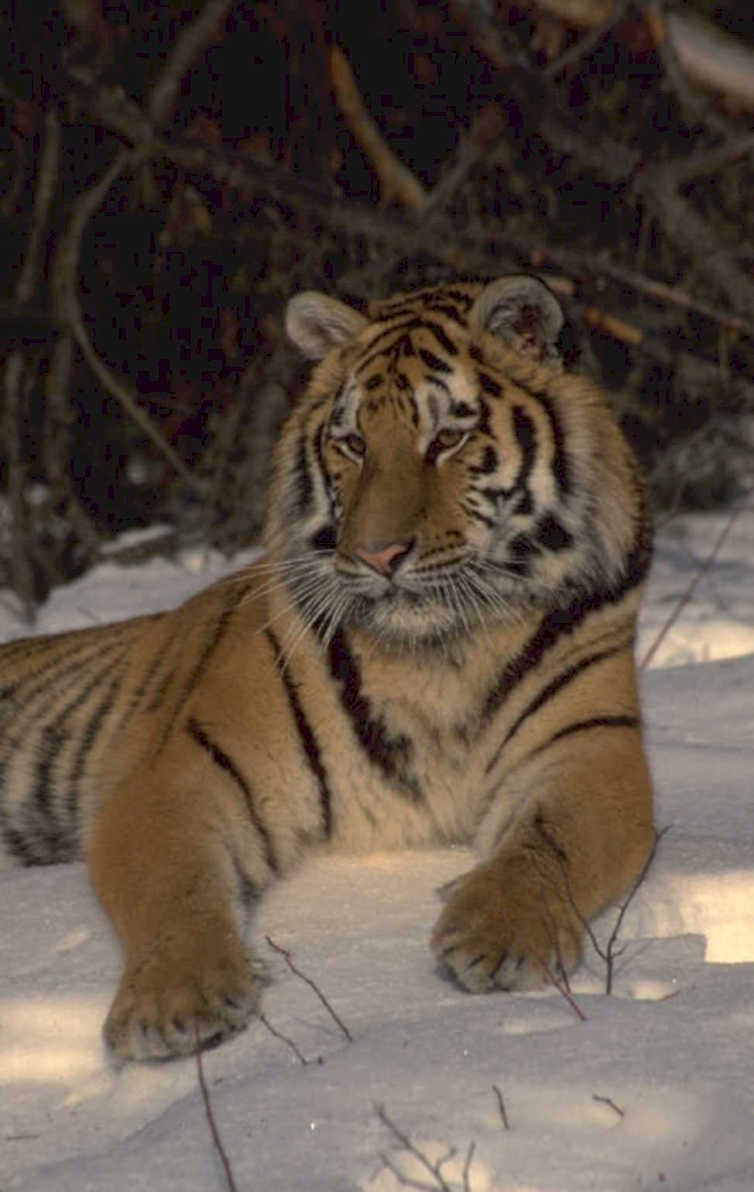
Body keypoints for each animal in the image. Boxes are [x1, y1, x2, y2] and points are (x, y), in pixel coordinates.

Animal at [0, 275, 654, 1062]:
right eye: (353, 443)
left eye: (448, 438)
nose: (377, 555)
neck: (437, 653)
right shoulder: (184, 771)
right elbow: (174, 887)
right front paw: (175, 1003)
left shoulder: (591, 750)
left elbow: (550, 844)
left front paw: (498, 932)